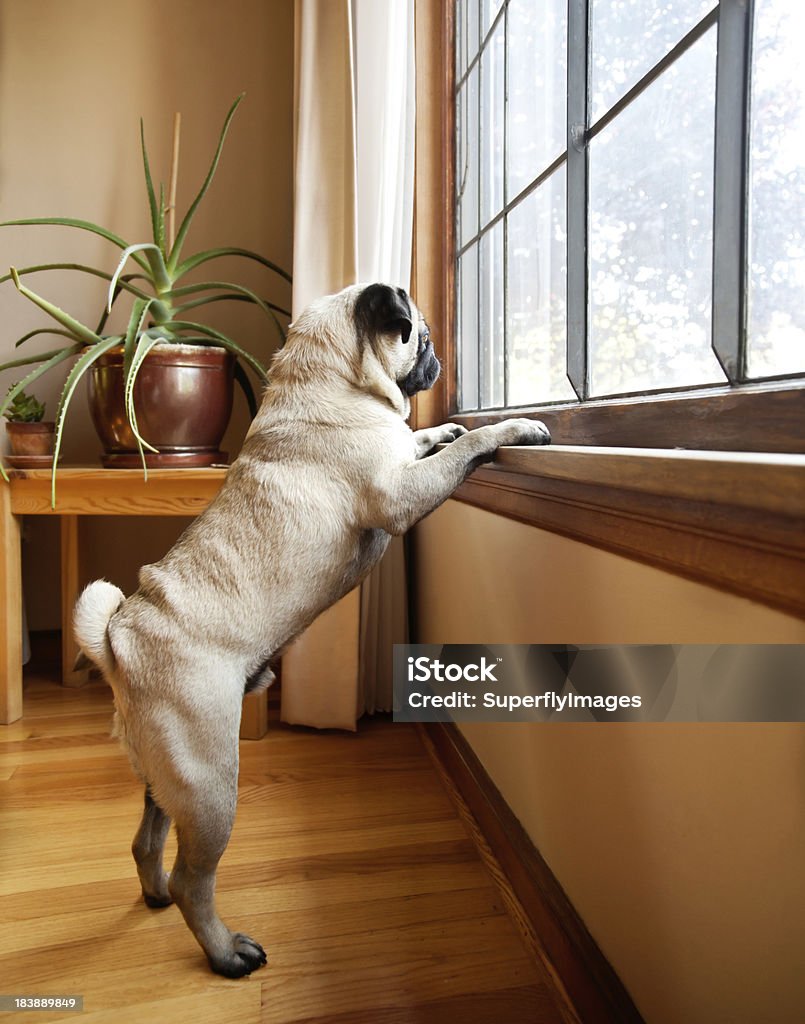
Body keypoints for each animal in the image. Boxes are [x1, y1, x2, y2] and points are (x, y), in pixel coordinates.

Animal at [73, 280, 553, 974]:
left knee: (145, 840)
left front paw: (444, 425)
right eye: (421, 337)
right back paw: (225, 951)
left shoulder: (401, 451)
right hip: (210, 779)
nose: (437, 360)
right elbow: (464, 449)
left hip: (167, 779)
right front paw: (505, 428)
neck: (334, 378)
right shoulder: (399, 496)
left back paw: (155, 892)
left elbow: (423, 436)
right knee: (197, 881)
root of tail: (118, 643)